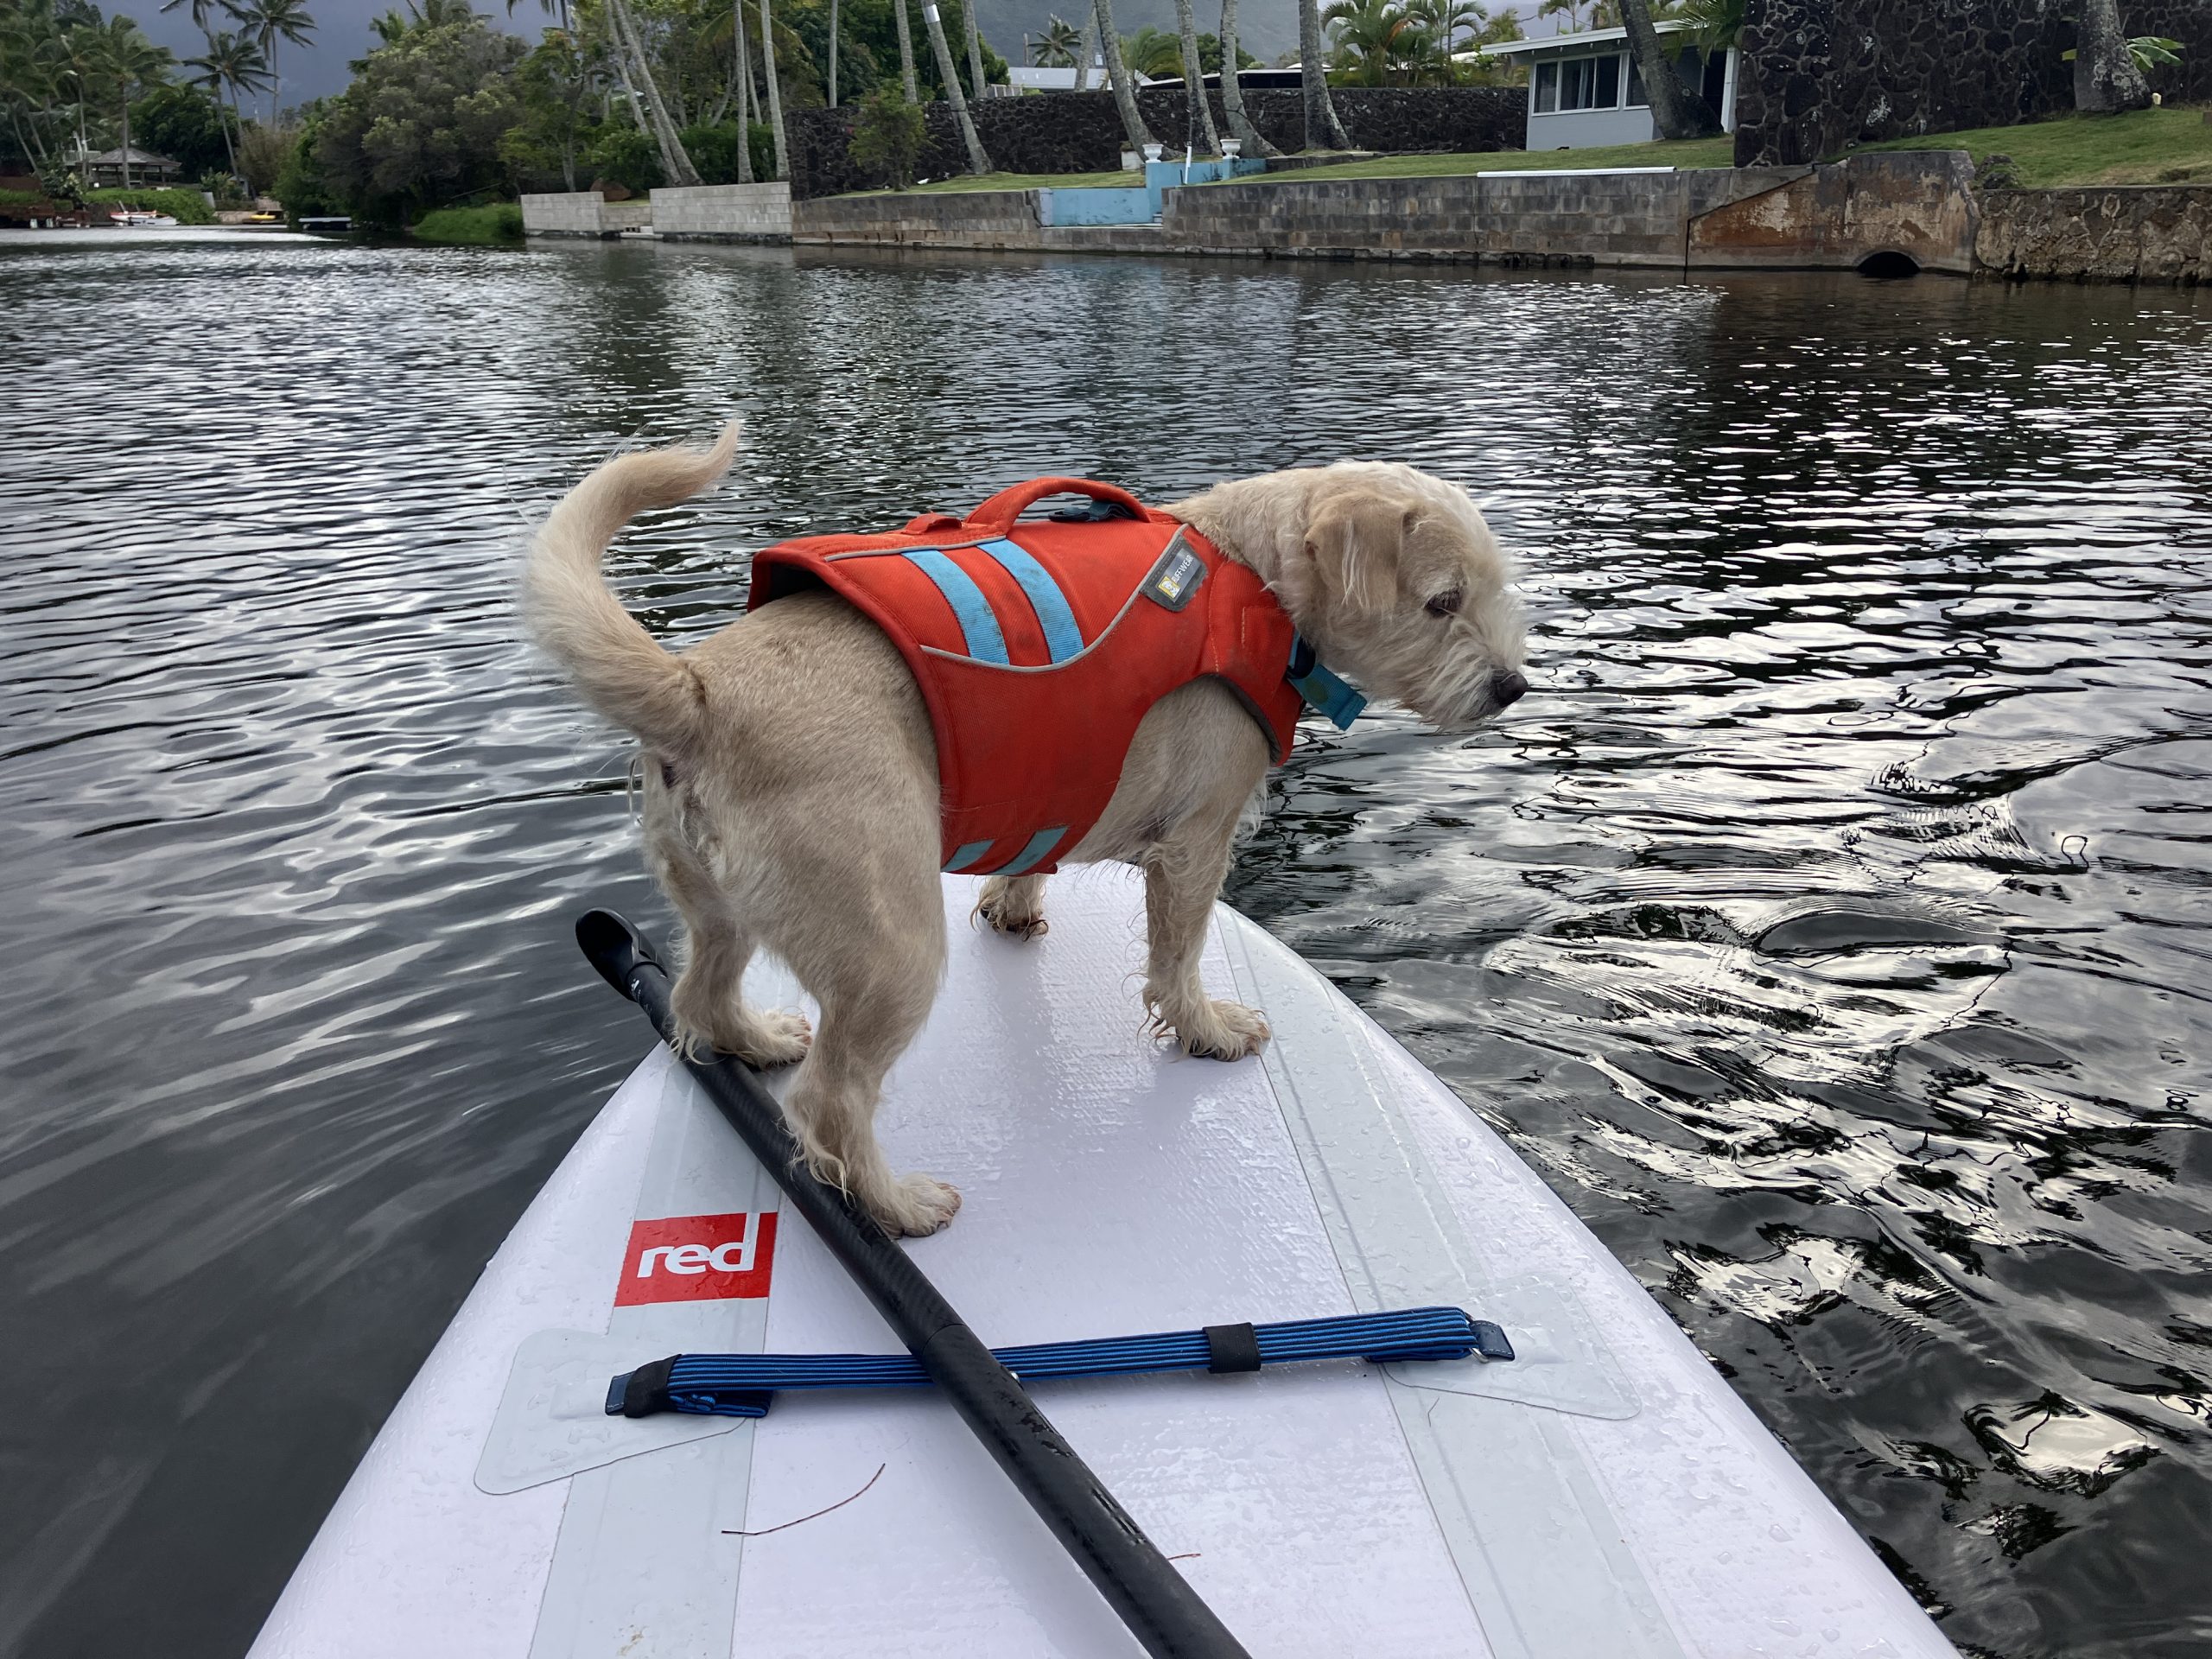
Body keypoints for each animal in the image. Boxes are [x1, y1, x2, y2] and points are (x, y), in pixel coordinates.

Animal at [526, 435, 1530, 1238]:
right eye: (1442, 602)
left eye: (1487, 592)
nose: (1512, 686)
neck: (1258, 578)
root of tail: (697, 692)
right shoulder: (1196, 842)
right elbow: (1179, 959)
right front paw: (1207, 1029)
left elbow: (1028, 866)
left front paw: (1013, 910)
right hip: (893, 951)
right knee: (830, 1103)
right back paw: (895, 1204)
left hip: (717, 912)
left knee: (698, 996)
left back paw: (755, 1039)